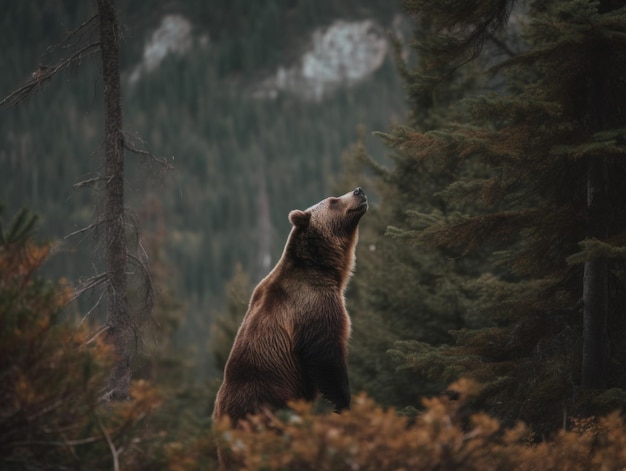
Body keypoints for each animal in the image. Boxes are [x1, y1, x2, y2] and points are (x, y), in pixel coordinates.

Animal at [212, 188, 366, 436]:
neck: (323, 268)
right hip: (266, 400)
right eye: (333, 201)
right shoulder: (312, 304)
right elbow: (326, 354)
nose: (359, 191)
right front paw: (342, 401)